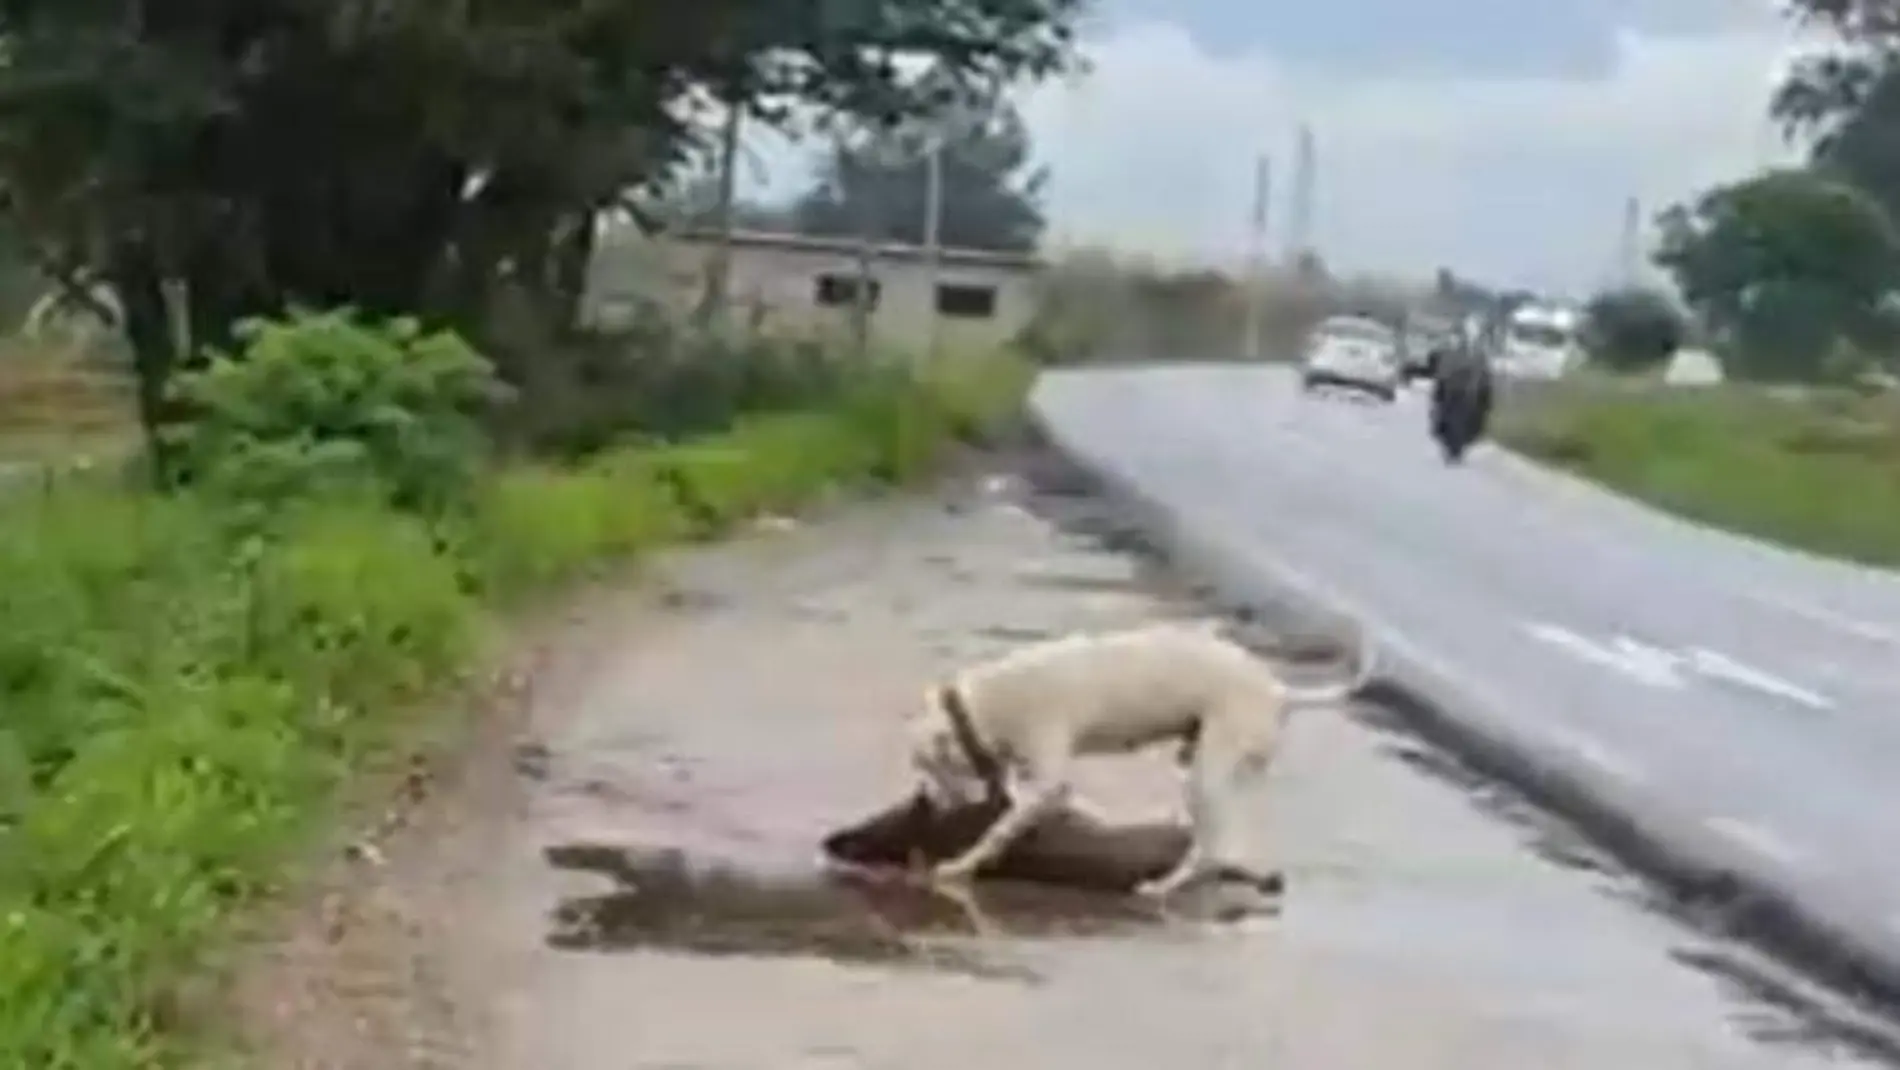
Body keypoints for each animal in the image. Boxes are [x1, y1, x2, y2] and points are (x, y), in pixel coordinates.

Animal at [904, 615, 1368, 900]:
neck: (985, 705)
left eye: (926, 765)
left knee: (1209, 847)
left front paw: (960, 866)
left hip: (1207, 771)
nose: (924, 802)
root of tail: (1279, 691)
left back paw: (1164, 886)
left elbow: (1000, 827)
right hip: (1206, 759)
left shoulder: (1048, 775)